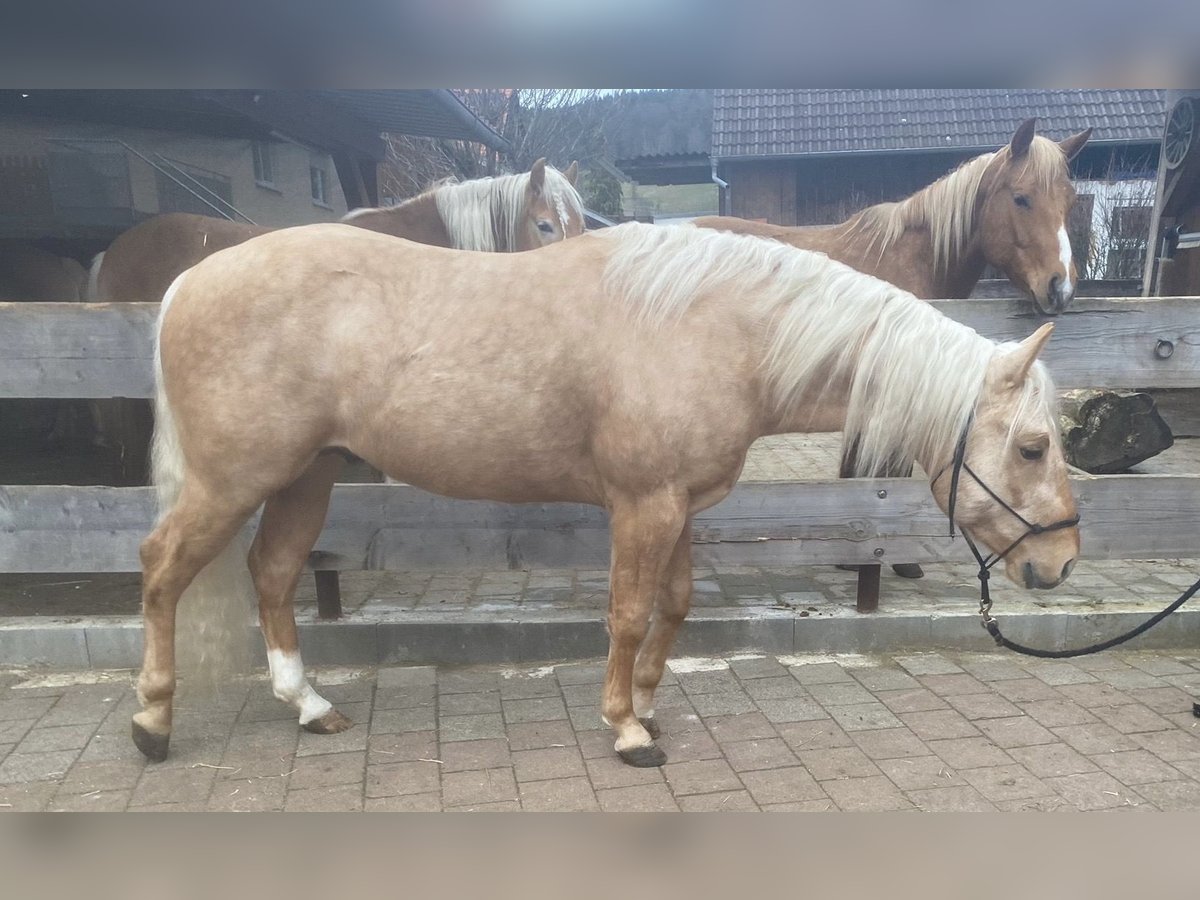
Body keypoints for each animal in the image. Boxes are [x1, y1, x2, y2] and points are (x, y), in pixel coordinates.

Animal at [131, 224, 1080, 768]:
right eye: (1032, 446)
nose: (1063, 562)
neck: (716, 324)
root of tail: (186, 284)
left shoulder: (679, 505)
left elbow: (676, 604)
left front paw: (651, 709)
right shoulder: (642, 505)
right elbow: (626, 613)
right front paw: (625, 729)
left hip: (307, 475)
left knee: (273, 573)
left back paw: (310, 708)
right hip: (234, 482)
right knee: (163, 570)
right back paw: (152, 722)